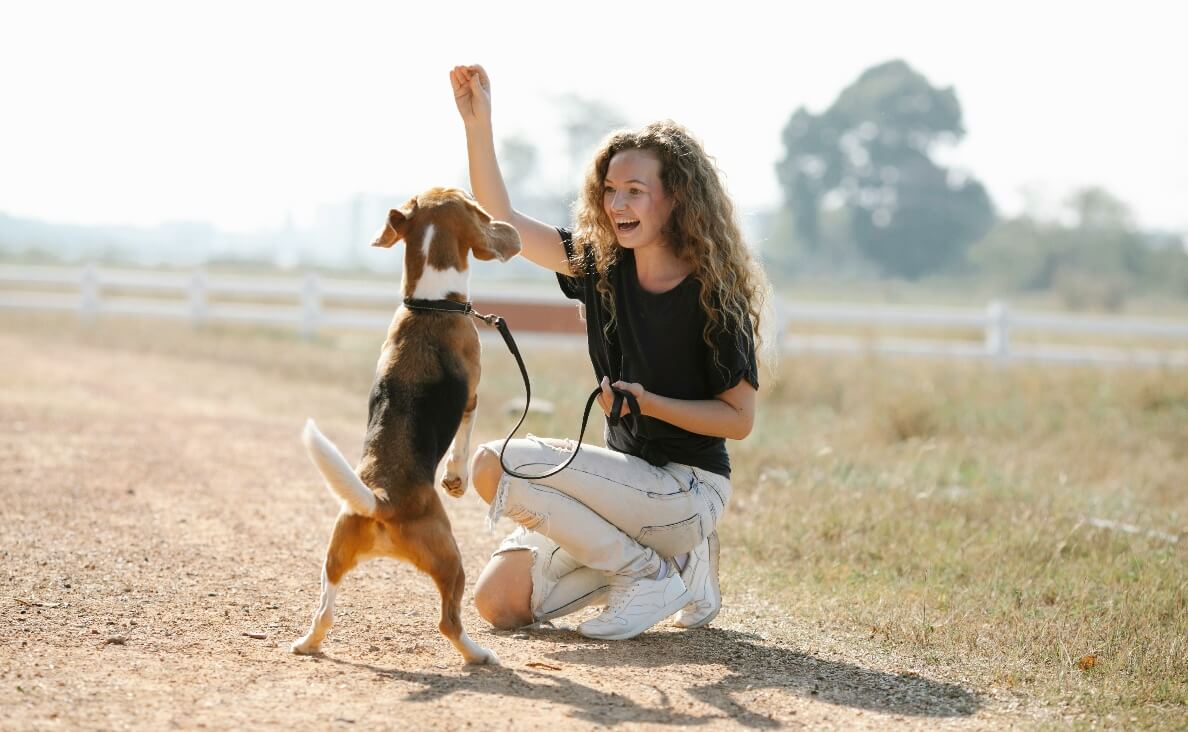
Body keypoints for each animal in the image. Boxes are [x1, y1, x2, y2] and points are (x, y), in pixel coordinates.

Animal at [291, 187, 520, 665]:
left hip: (333, 556)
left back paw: (307, 643)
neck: (430, 304)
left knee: (324, 612)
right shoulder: (472, 397)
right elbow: (463, 443)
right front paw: (456, 479)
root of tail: (381, 499)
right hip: (451, 560)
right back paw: (479, 654)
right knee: (448, 621)